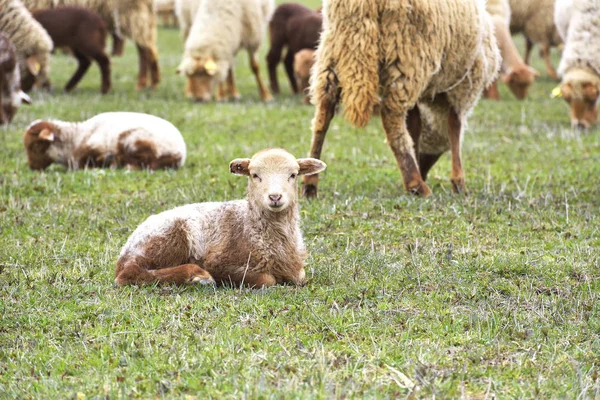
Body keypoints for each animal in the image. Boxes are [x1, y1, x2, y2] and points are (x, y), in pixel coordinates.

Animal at [22, 0, 161, 90]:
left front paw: (39, 83)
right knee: (150, 49)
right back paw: (153, 83)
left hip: (130, 15)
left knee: (143, 50)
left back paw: (140, 83)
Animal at [114, 148, 326, 286]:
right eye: (255, 175)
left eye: (293, 175)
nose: (275, 197)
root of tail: (125, 251)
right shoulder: (219, 263)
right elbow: (267, 279)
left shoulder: (294, 267)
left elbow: (300, 276)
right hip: (170, 237)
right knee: (129, 274)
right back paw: (198, 276)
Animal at [302, 0, 500, 198]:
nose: (423, 170)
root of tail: (360, 6)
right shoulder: (462, 89)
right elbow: (455, 128)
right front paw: (459, 183)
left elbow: (414, 126)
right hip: (407, 58)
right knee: (392, 119)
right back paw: (416, 184)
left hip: (333, 51)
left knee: (323, 115)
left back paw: (310, 183)